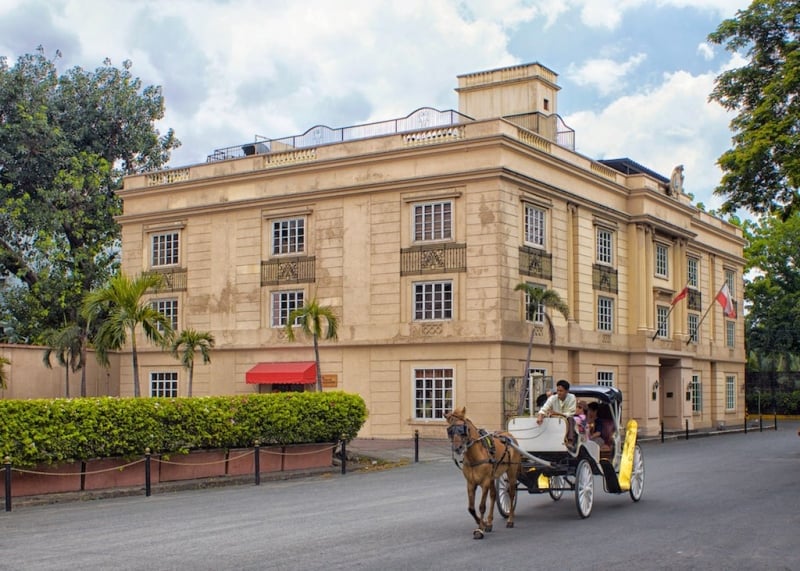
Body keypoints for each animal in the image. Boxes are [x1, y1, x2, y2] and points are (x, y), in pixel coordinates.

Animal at [444, 408, 520, 540]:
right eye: (450, 430)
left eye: (463, 429)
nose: (457, 448)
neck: (475, 455)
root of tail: (510, 436)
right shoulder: (470, 483)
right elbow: (471, 508)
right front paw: (483, 523)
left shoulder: (484, 482)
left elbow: (481, 506)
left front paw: (479, 529)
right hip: (493, 477)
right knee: (494, 495)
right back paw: (489, 523)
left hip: (511, 472)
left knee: (511, 493)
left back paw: (510, 520)